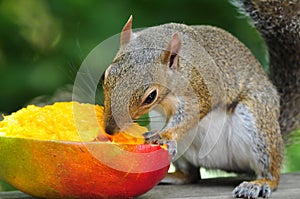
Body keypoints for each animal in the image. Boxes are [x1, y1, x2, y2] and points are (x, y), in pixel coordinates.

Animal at [101, 0, 300, 198]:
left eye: (151, 96)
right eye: (106, 75)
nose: (109, 130)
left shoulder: (202, 92)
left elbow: (190, 116)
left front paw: (164, 135)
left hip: (258, 123)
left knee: (272, 171)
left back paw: (259, 183)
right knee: (191, 175)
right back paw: (174, 176)